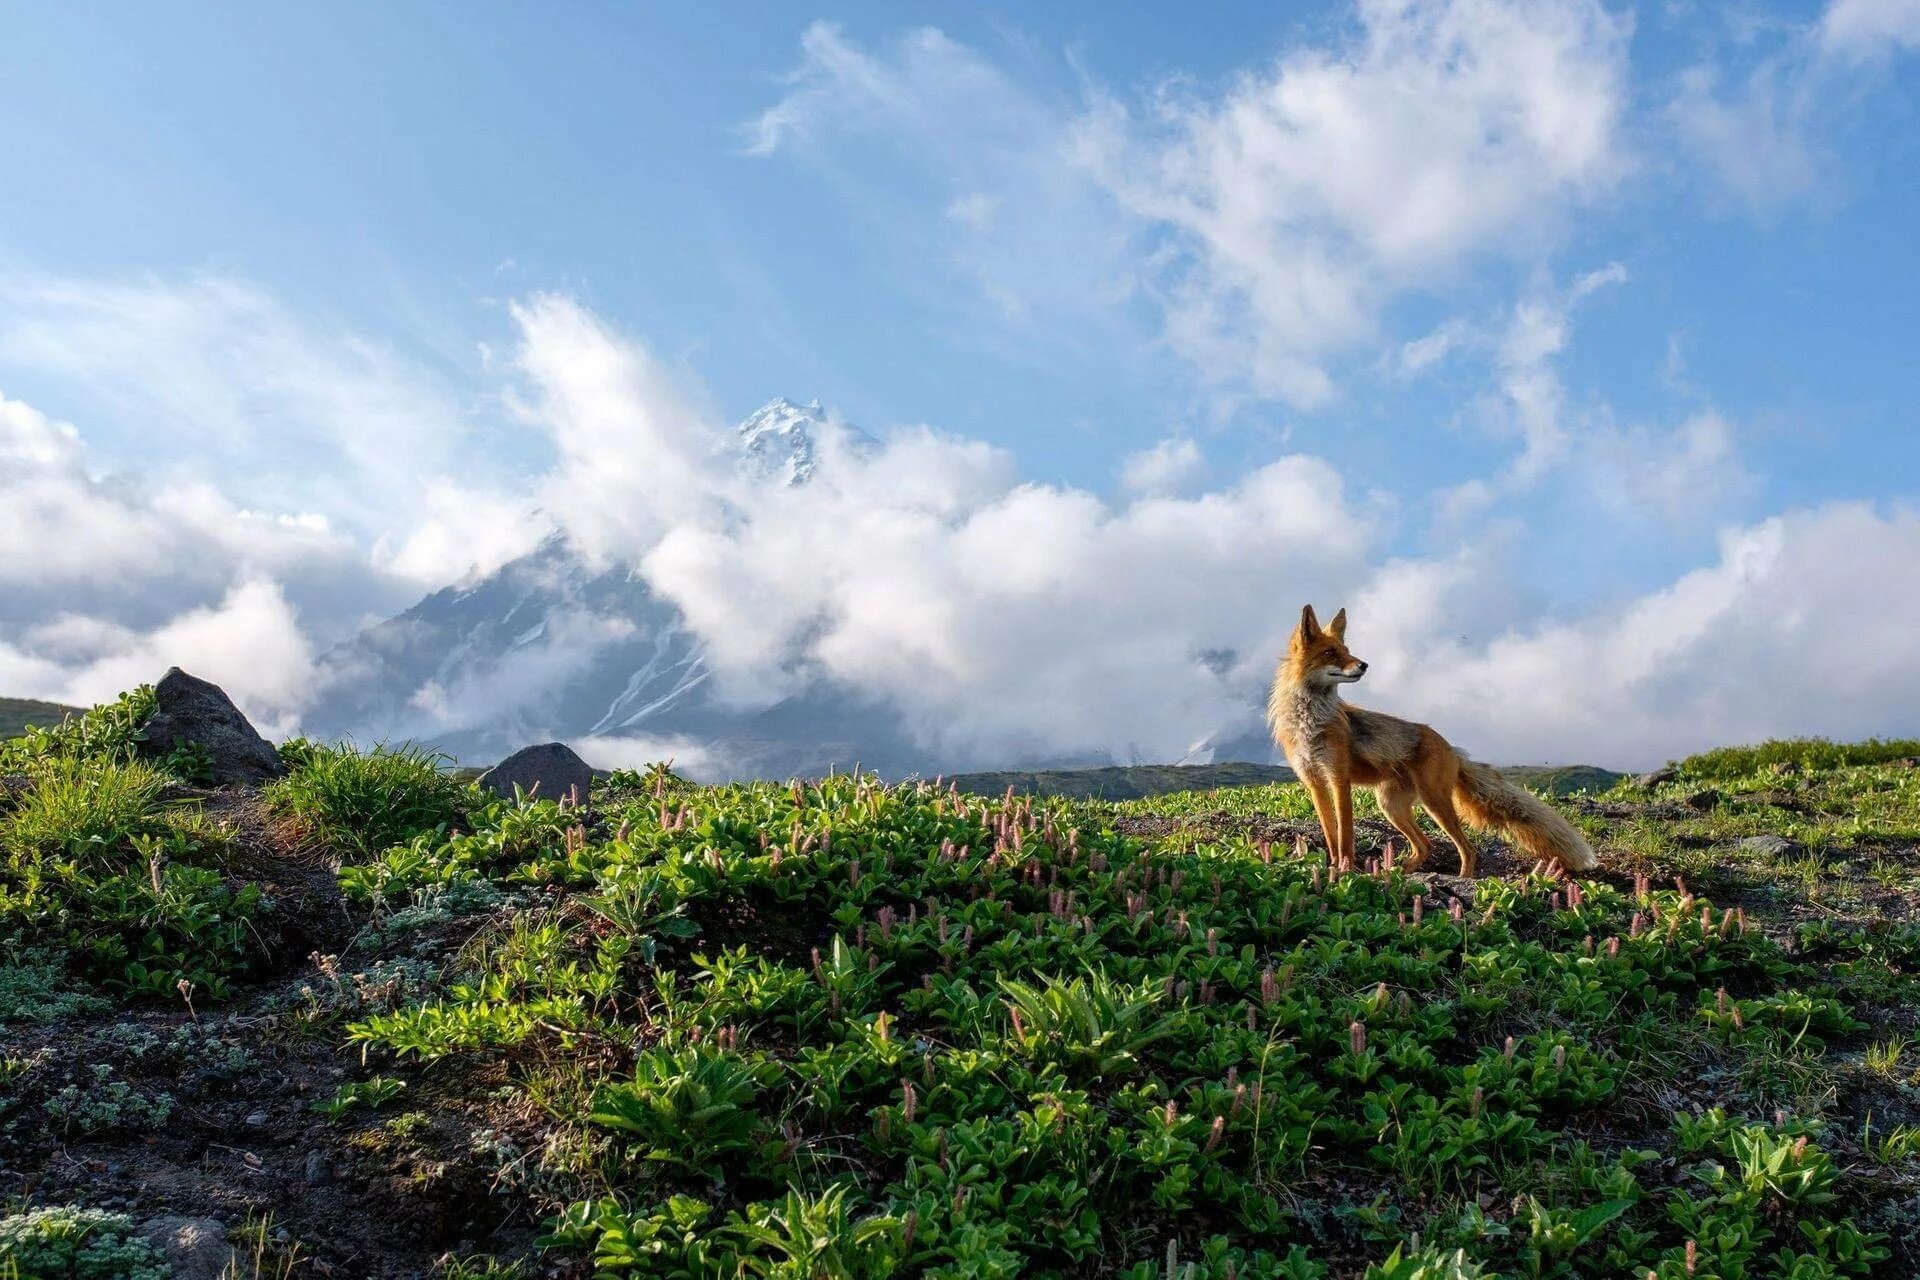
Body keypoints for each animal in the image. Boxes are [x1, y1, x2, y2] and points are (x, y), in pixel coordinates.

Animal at [1267, 606, 1597, 875]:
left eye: (1347, 650)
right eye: (1330, 653)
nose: (1364, 665)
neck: (1309, 722)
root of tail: (1453, 748)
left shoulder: (1339, 779)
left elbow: (1346, 836)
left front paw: (1346, 871)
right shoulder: (1315, 783)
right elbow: (1331, 835)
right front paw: (1335, 868)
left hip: (1434, 803)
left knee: (1467, 849)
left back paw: (1462, 880)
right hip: (1392, 805)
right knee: (1425, 845)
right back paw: (1399, 873)